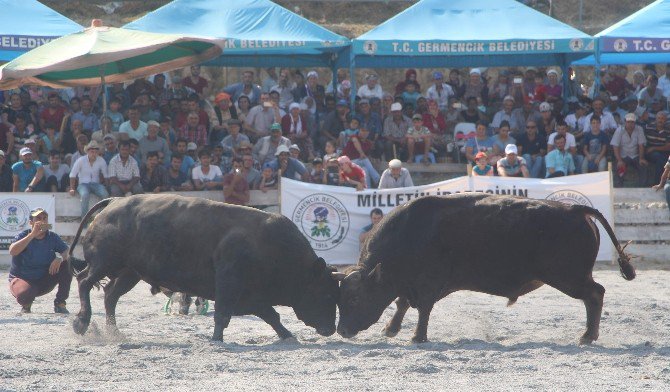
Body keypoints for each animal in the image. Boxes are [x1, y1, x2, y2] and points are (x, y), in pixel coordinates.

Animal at [68, 195, 342, 340]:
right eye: (327, 295)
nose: (331, 329)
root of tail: (115, 201)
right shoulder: (229, 282)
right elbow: (223, 313)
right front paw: (217, 338)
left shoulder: (252, 295)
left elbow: (271, 315)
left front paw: (287, 335)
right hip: (105, 262)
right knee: (84, 282)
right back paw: (81, 322)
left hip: (130, 272)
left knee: (110, 295)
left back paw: (113, 332)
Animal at [338, 194, 636, 344]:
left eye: (354, 298)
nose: (341, 330)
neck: (410, 233)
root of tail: (575, 210)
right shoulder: (409, 284)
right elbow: (401, 303)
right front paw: (391, 329)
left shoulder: (427, 285)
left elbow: (422, 309)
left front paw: (417, 337)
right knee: (594, 295)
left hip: (568, 277)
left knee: (595, 294)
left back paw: (587, 336)